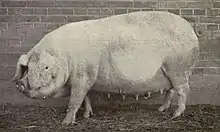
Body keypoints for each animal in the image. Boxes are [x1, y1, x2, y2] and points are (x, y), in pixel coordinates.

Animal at [12, 11, 201, 125]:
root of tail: (191, 31)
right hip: (170, 73)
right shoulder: (87, 79)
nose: (21, 83)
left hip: (178, 68)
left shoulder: (82, 77)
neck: (66, 58)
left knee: (183, 90)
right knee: (171, 91)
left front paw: (65, 123)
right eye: (28, 67)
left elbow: (75, 100)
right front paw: (88, 115)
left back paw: (176, 114)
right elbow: (86, 98)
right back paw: (161, 109)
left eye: (45, 67)